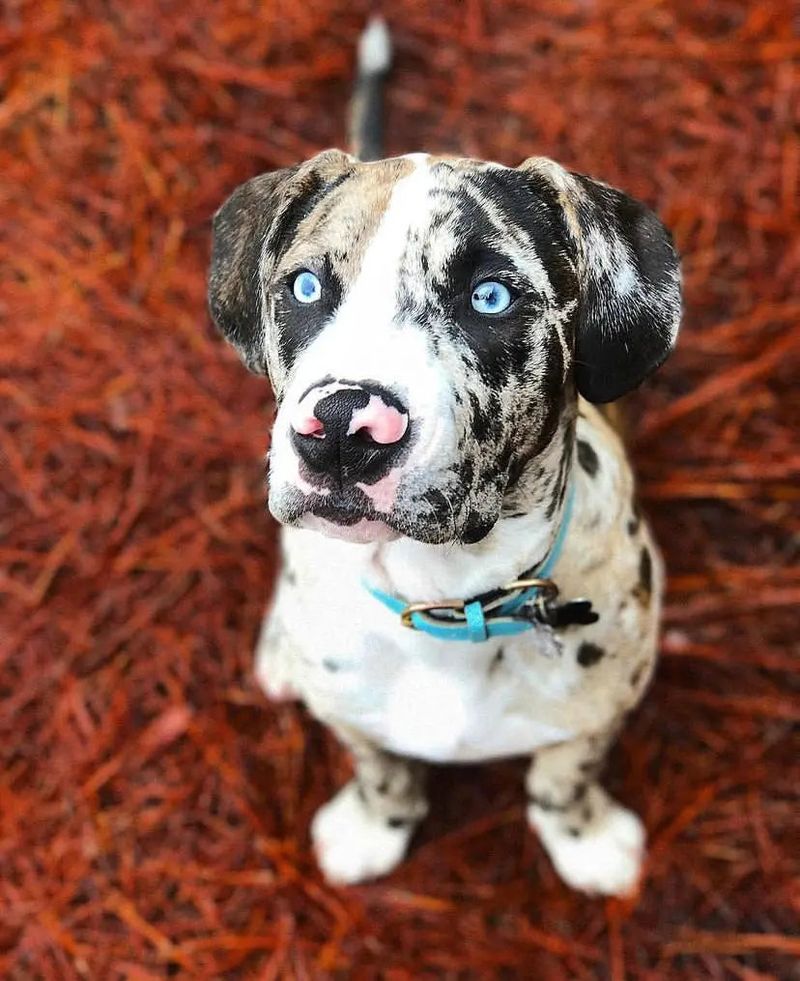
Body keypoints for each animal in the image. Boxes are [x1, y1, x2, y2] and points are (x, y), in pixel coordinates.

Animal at [208, 21, 680, 896]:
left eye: (490, 296)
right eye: (303, 287)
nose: (343, 427)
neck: (447, 598)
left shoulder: (607, 698)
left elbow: (566, 770)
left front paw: (585, 837)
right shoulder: (355, 713)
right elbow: (378, 766)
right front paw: (372, 827)